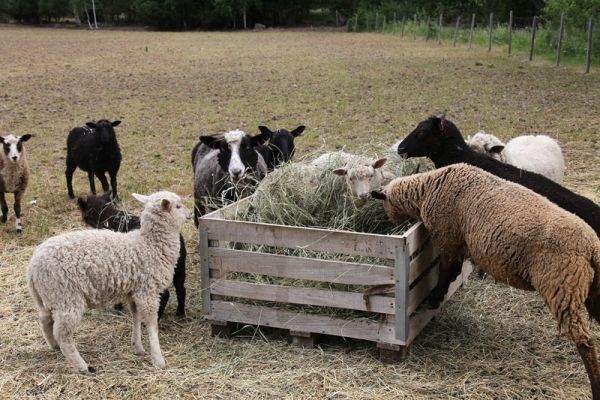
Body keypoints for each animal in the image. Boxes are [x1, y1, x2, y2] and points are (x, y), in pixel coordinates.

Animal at [25, 191, 189, 376]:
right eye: (178, 206)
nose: (190, 214)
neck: (150, 245)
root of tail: (32, 268)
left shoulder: (134, 292)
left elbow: (136, 318)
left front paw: (137, 347)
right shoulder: (147, 293)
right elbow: (151, 325)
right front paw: (158, 359)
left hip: (49, 296)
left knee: (44, 319)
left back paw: (53, 345)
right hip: (67, 297)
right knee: (63, 335)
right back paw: (83, 366)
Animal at [372, 163, 600, 400]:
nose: (391, 223)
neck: (427, 188)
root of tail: (591, 248)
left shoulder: (448, 239)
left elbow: (445, 272)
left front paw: (433, 300)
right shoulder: (458, 244)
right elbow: (453, 273)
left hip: (562, 288)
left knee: (585, 342)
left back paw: (595, 388)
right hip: (592, 291)